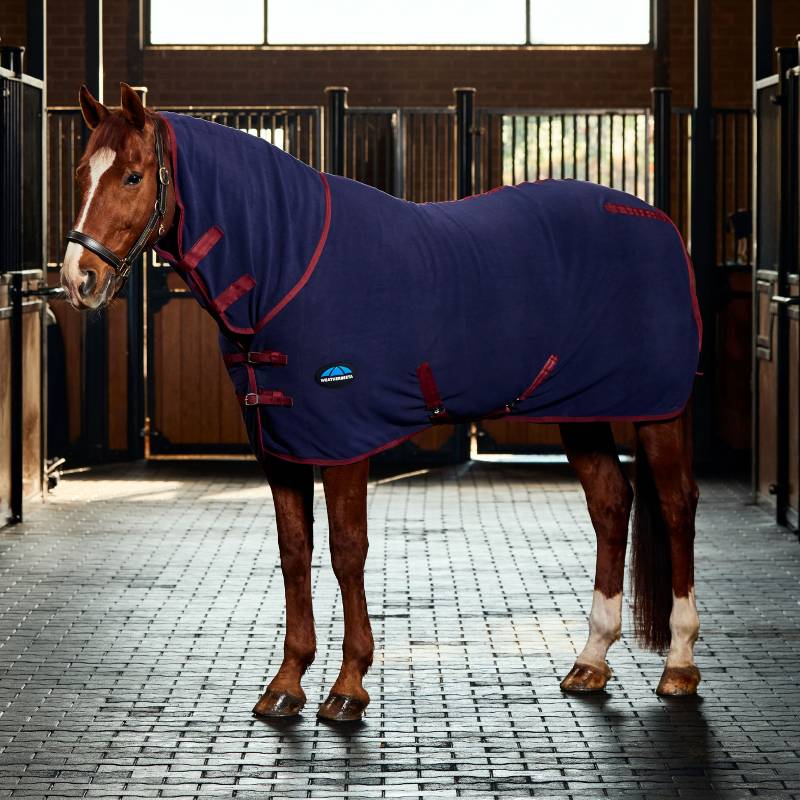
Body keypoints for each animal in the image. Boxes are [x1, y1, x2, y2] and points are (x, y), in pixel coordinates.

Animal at [60, 83, 702, 723]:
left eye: (134, 176)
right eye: (81, 173)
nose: (77, 279)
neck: (286, 263)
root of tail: (660, 223)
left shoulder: (344, 438)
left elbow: (347, 550)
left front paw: (348, 686)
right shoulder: (280, 443)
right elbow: (294, 551)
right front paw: (287, 683)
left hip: (657, 409)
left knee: (675, 506)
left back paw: (679, 665)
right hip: (581, 410)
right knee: (611, 504)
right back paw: (590, 661)